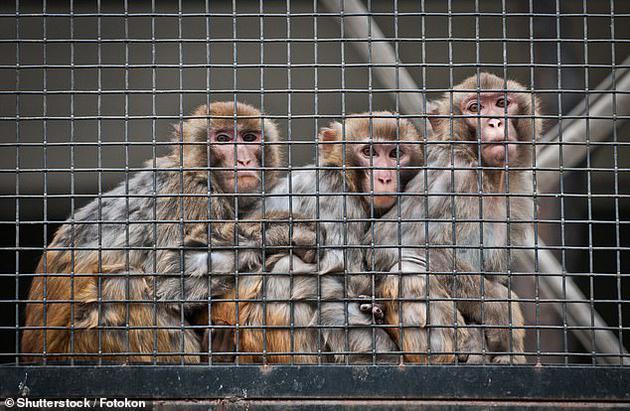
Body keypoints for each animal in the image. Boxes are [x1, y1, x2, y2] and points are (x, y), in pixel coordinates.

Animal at [21, 101, 318, 366]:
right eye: (223, 139)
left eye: (249, 138)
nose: (243, 159)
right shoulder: (192, 194)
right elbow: (168, 276)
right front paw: (281, 230)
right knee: (123, 284)